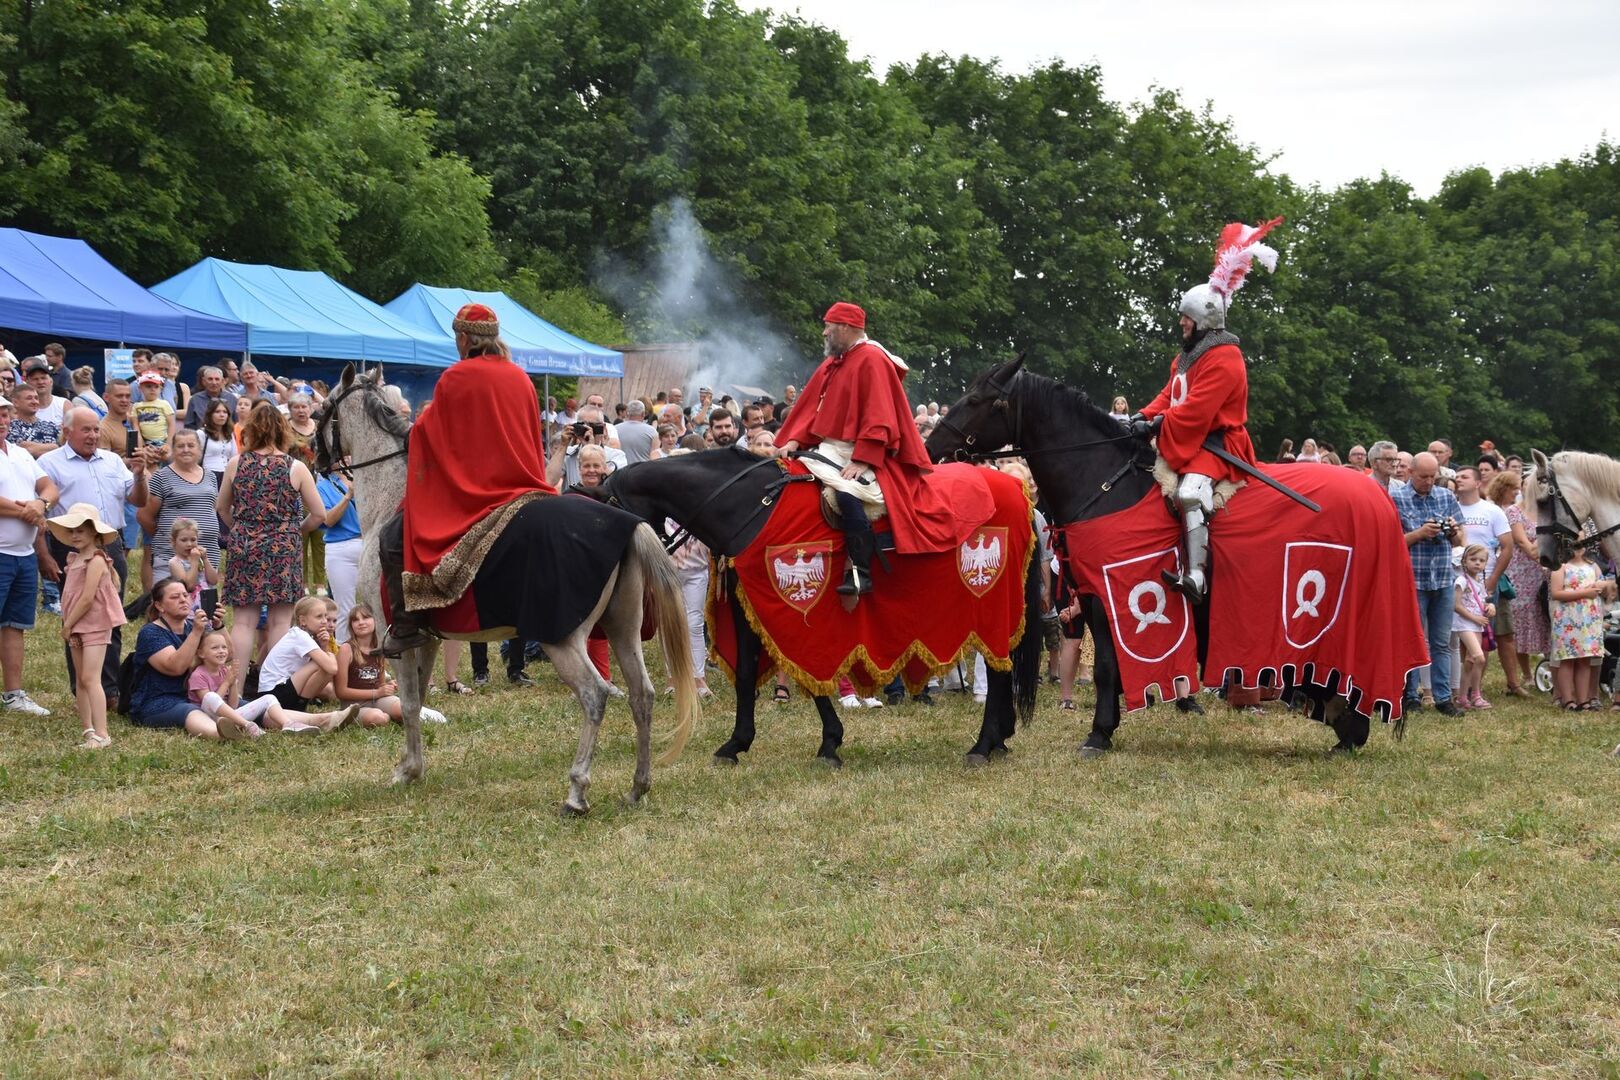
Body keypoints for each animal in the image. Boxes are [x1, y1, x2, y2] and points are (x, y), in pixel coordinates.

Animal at [314, 364, 698, 815]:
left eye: (322, 409)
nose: (315, 458)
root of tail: (625, 523)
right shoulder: (426, 638)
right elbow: (418, 699)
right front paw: (413, 766)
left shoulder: (395, 636)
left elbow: (408, 701)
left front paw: (405, 771)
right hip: (623, 628)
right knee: (642, 694)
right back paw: (638, 786)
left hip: (563, 639)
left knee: (595, 695)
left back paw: (576, 792)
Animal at [590, 445, 1043, 767]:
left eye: (609, 511)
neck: (749, 506)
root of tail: (1018, 493)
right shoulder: (749, 605)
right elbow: (750, 674)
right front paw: (739, 743)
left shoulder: (788, 611)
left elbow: (806, 672)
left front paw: (827, 742)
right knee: (1000, 667)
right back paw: (999, 739)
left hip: (990, 603)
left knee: (997, 668)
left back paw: (983, 745)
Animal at [926, 355, 1394, 756]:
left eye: (977, 400)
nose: (931, 448)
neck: (1104, 485)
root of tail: (1379, 499)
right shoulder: (1093, 597)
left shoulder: (1107, 599)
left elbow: (1107, 669)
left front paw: (1099, 734)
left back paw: (1350, 729)